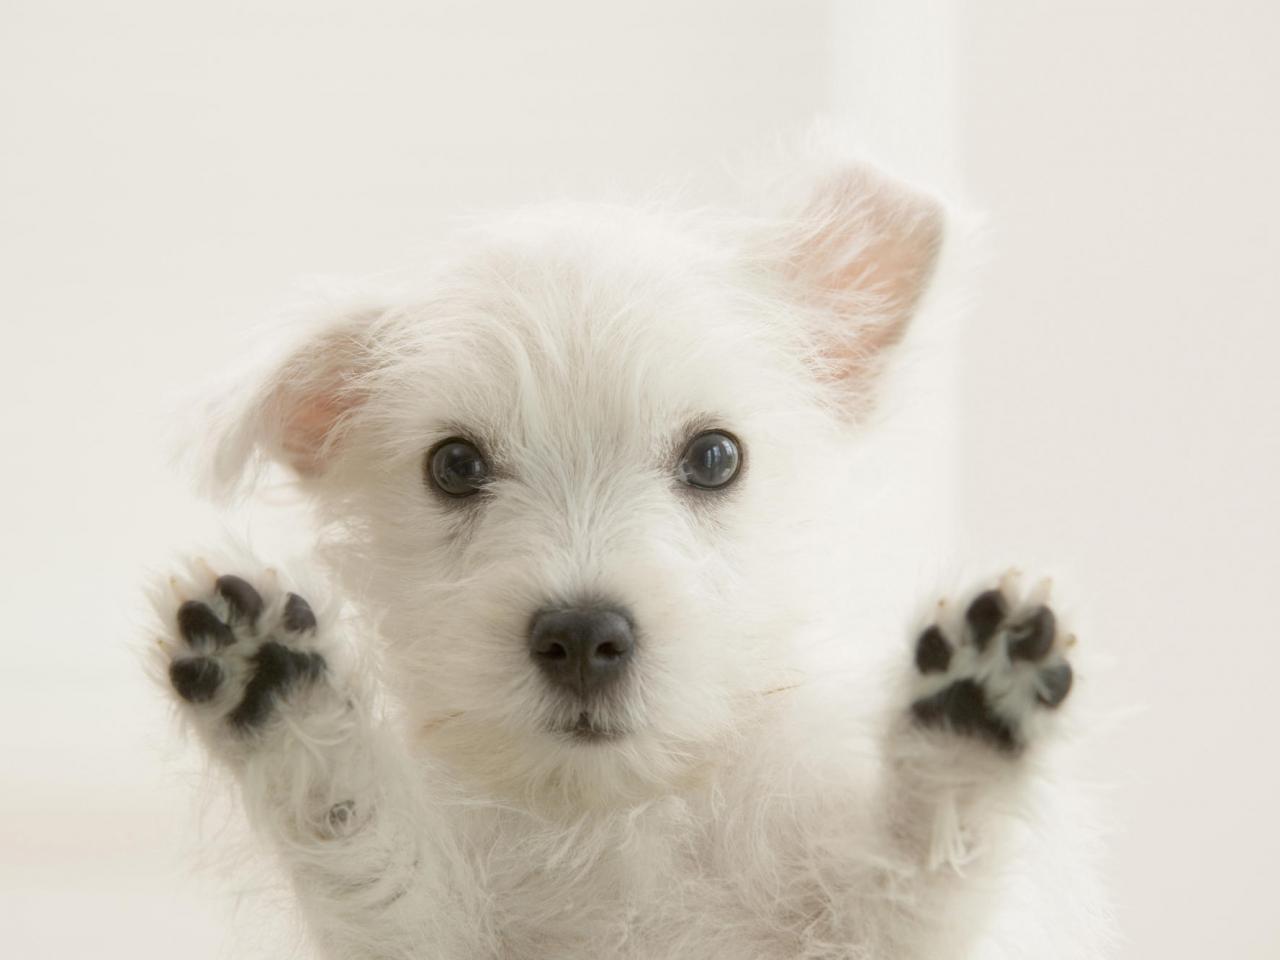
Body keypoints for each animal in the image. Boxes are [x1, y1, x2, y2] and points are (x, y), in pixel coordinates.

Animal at [147, 163, 1111, 960]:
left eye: (716, 457)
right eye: (454, 466)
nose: (582, 637)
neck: (620, 819)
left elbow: (915, 882)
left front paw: (964, 727)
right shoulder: (425, 931)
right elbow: (369, 856)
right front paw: (285, 698)